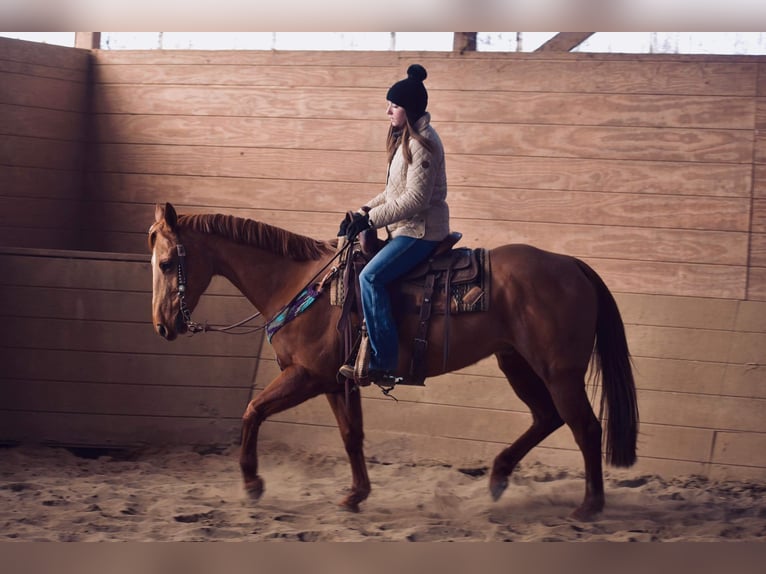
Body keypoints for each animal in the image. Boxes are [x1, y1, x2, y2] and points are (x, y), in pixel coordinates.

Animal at [147, 202, 640, 520]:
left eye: (168, 263)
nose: (162, 326)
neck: (301, 284)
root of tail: (571, 264)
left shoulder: (306, 376)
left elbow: (252, 411)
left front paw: (252, 483)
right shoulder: (336, 381)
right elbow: (351, 437)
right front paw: (356, 495)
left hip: (559, 372)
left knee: (584, 426)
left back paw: (589, 506)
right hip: (516, 362)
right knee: (547, 417)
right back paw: (499, 478)